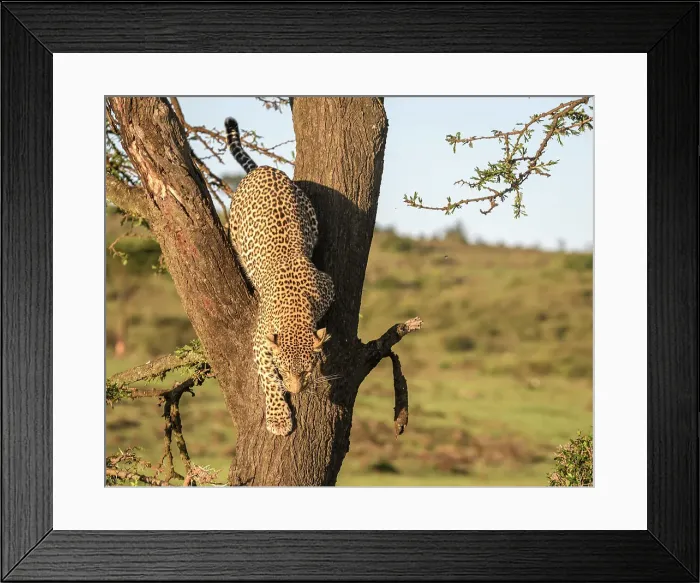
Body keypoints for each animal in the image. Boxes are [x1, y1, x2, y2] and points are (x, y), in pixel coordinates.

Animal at [224, 117, 334, 436]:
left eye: (306, 370)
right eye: (283, 369)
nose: (296, 391)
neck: (296, 308)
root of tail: (263, 168)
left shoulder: (328, 284)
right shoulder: (261, 340)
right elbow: (268, 380)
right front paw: (278, 417)